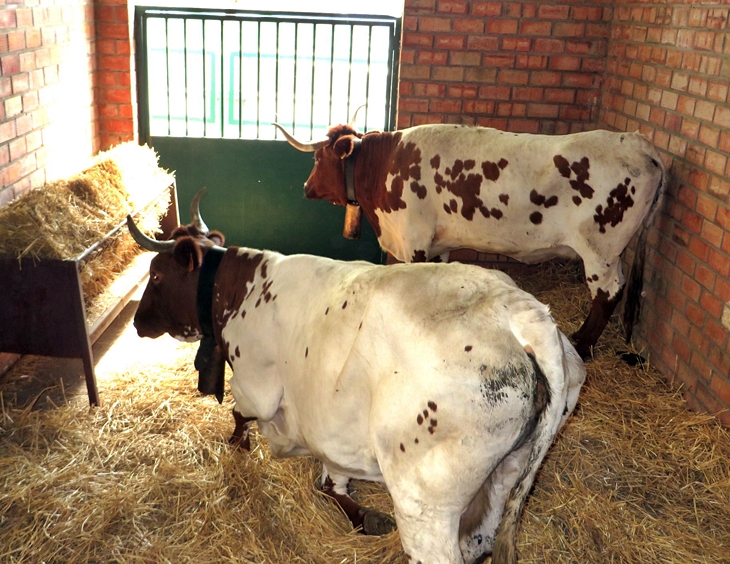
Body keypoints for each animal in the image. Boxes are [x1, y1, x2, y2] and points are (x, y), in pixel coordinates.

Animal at [272, 124, 664, 362]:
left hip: (600, 251)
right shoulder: (438, 245)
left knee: (608, 293)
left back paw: (582, 345)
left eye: (317, 157)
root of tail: (639, 143)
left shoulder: (414, 240)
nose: (306, 188)